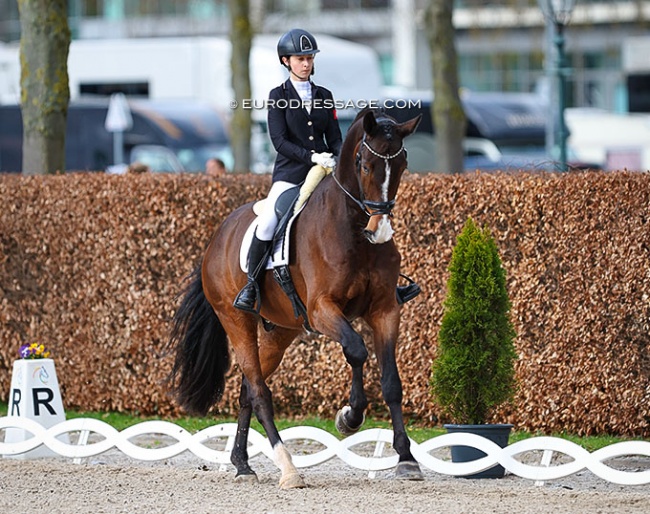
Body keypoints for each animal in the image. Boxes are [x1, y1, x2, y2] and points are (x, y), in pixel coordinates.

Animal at [166, 106, 420, 486]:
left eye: (402, 163)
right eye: (364, 164)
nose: (380, 230)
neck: (352, 231)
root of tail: (216, 239)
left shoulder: (386, 310)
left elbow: (391, 382)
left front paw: (406, 458)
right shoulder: (322, 310)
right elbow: (356, 350)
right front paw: (350, 417)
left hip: (282, 331)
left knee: (247, 390)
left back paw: (242, 464)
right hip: (236, 320)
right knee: (259, 391)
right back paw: (288, 468)